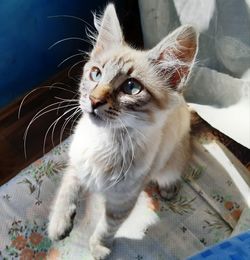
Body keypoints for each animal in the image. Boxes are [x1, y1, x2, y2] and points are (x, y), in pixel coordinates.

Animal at [47, 3, 198, 258]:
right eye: (95, 74)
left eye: (131, 87)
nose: (94, 100)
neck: (105, 142)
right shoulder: (77, 164)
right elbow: (66, 191)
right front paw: (58, 224)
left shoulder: (122, 201)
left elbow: (107, 227)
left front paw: (98, 247)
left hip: (171, 161)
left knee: (174, 171)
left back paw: (169, 189)